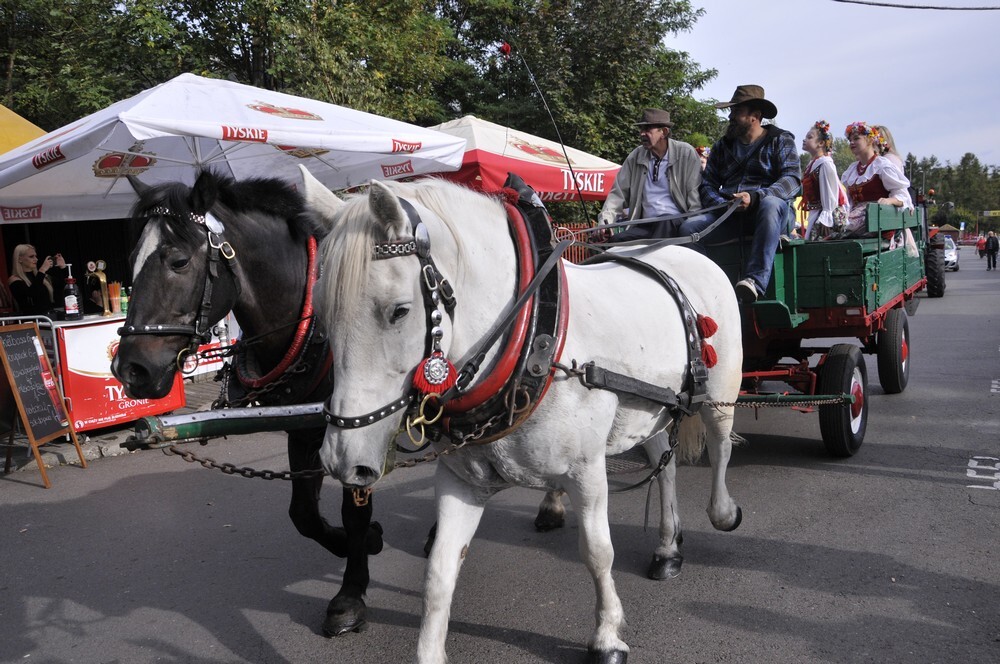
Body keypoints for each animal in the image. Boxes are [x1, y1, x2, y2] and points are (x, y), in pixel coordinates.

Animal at [110, 170, 383, 637]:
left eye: (178, 261)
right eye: (131, 259)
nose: (130, 370)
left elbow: (354, 510)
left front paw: (350, 594)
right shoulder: (304, 429)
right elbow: (303, 514)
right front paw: (358, 543)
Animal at [301, 171, 744, 663]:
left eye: (398, 311)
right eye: (321, 314)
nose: (340, 460)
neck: (532, 336)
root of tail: (687, 253)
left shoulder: (588, 472)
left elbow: (597, 552)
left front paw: (607, 635)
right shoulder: (462, 481)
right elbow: (438, 572)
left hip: (719, 392)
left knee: (719, 445)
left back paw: (722, 513)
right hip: (649, 409)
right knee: (662, 465)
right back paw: (667, 548)